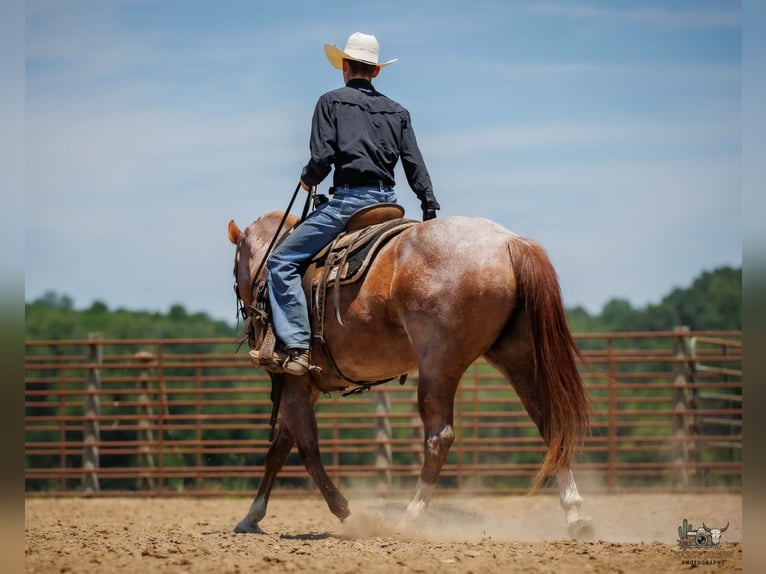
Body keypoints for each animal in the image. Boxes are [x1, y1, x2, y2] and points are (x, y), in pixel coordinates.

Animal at [227, 210, 594, 539]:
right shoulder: (306, 387)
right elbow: (279, 449)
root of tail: (507, 242)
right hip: (518, 357)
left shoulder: (294, 382)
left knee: (439, 437)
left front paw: (348, 516)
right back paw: (576, 516)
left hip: (439, 365)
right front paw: (251, 516)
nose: (247, 314)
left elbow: (307, 450)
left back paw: (410, 518)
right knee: (551, 424)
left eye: (234, 267)